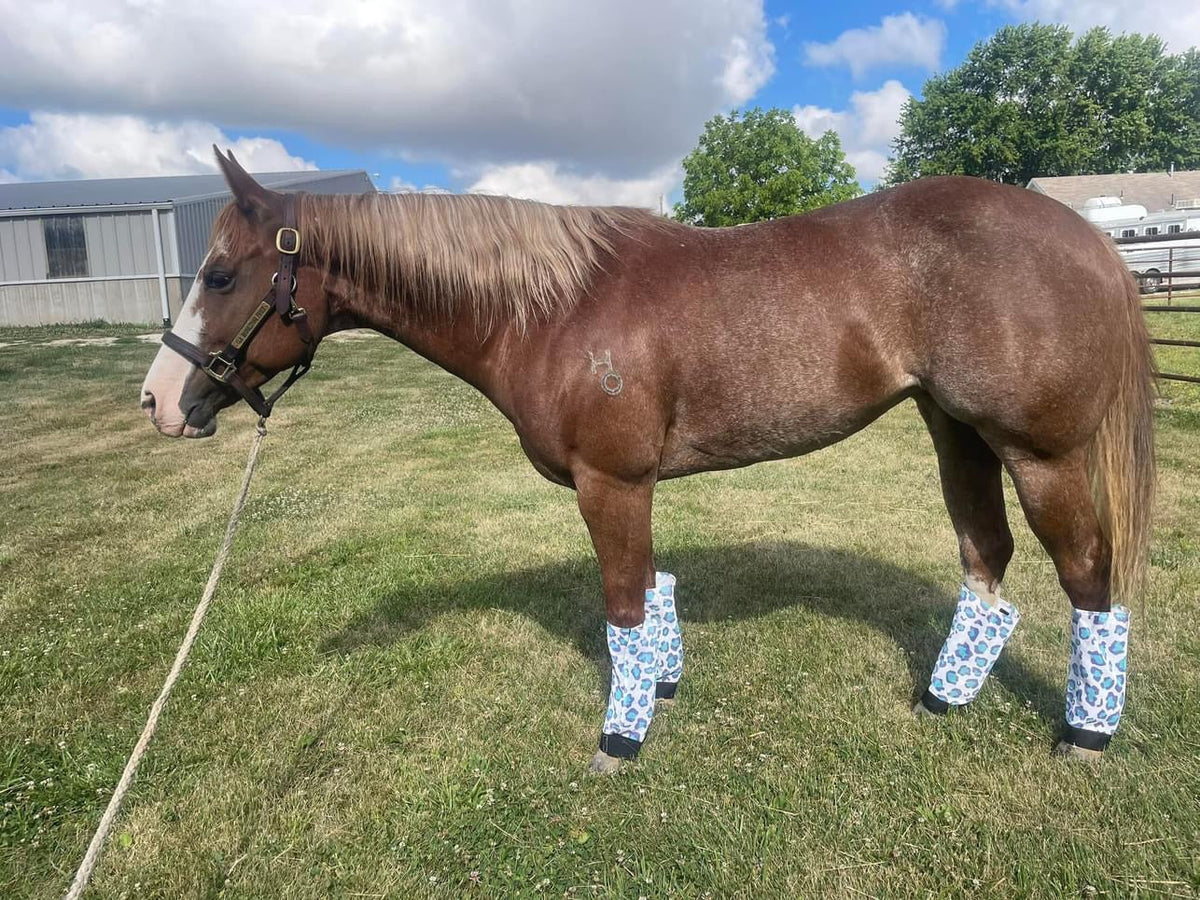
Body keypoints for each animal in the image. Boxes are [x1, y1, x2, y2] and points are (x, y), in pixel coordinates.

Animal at [141, 149, 1155, 772]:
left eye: (221, 275)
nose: (159, 400)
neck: (551, 309)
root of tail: (1091, 242)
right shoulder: (634, 487)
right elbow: (655, 595)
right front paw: (660, 687)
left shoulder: (612, 484)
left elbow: (624, 604)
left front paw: (620, 740)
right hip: (956, 432)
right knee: (987, 558)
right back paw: (944, 700)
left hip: (1040, 453)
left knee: (1089, 577)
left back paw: (1084, 733)